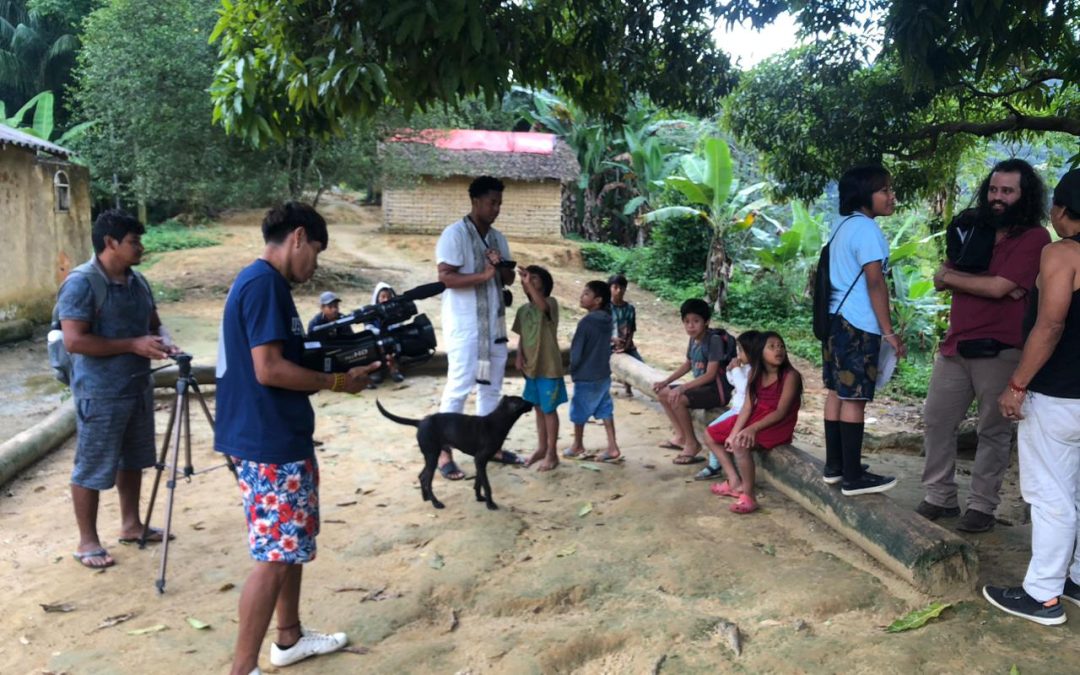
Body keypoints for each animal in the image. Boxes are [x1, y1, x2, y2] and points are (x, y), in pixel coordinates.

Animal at [378, 393, 533, 507]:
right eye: (522, 401)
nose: (533, 402)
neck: (496, 421)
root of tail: (420, 422)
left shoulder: (480, 461)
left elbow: (478, 482)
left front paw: (479, 497)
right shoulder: (480, 459)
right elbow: (486, 485)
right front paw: (490, 504)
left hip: (430, 455)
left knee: (422, 476)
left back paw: (426, 497)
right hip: (433, 456)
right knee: (427, 479)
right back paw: (436, 503)